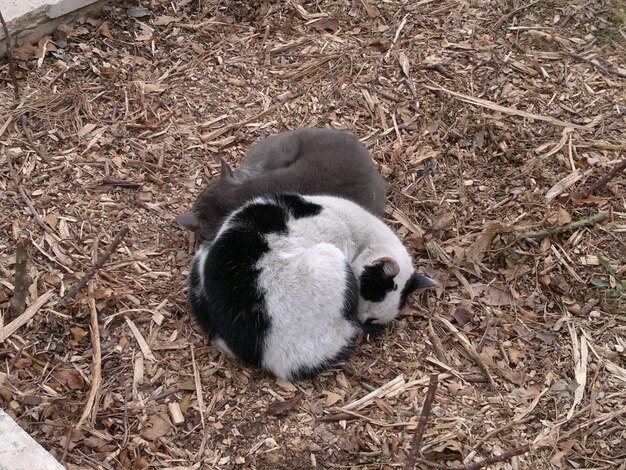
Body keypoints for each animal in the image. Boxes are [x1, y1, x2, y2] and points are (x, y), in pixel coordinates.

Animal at [188, 193, 436, 380]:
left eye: (375, 320)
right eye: (366, 301)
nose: (362, 321)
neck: (362, 237)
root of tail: (270, 358)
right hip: (328, 258)